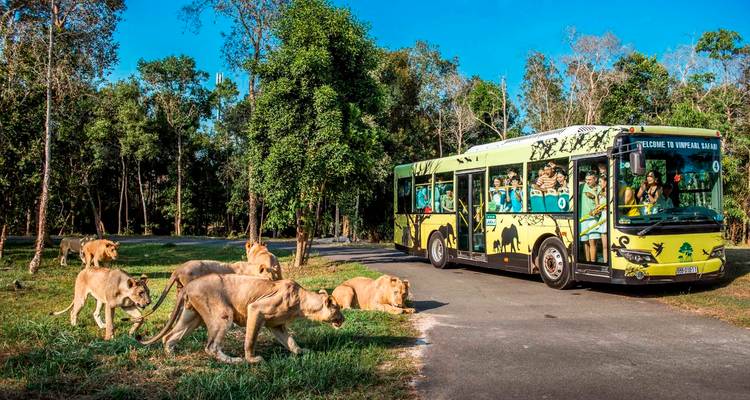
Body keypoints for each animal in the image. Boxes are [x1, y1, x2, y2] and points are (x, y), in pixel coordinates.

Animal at [141, 275, 344, 364]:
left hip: (192, 317)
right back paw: (235, 361)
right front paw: (252, 359)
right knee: (211, 347)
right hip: (223, 314)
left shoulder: (277, 325)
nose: (343, 319)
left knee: (169, 337)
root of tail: (187, 286)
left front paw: (302, 352)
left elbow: (291, 342)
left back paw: (172, 356)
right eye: (337, 308)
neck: (302, 302)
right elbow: (250, 339)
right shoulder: (255, 309)